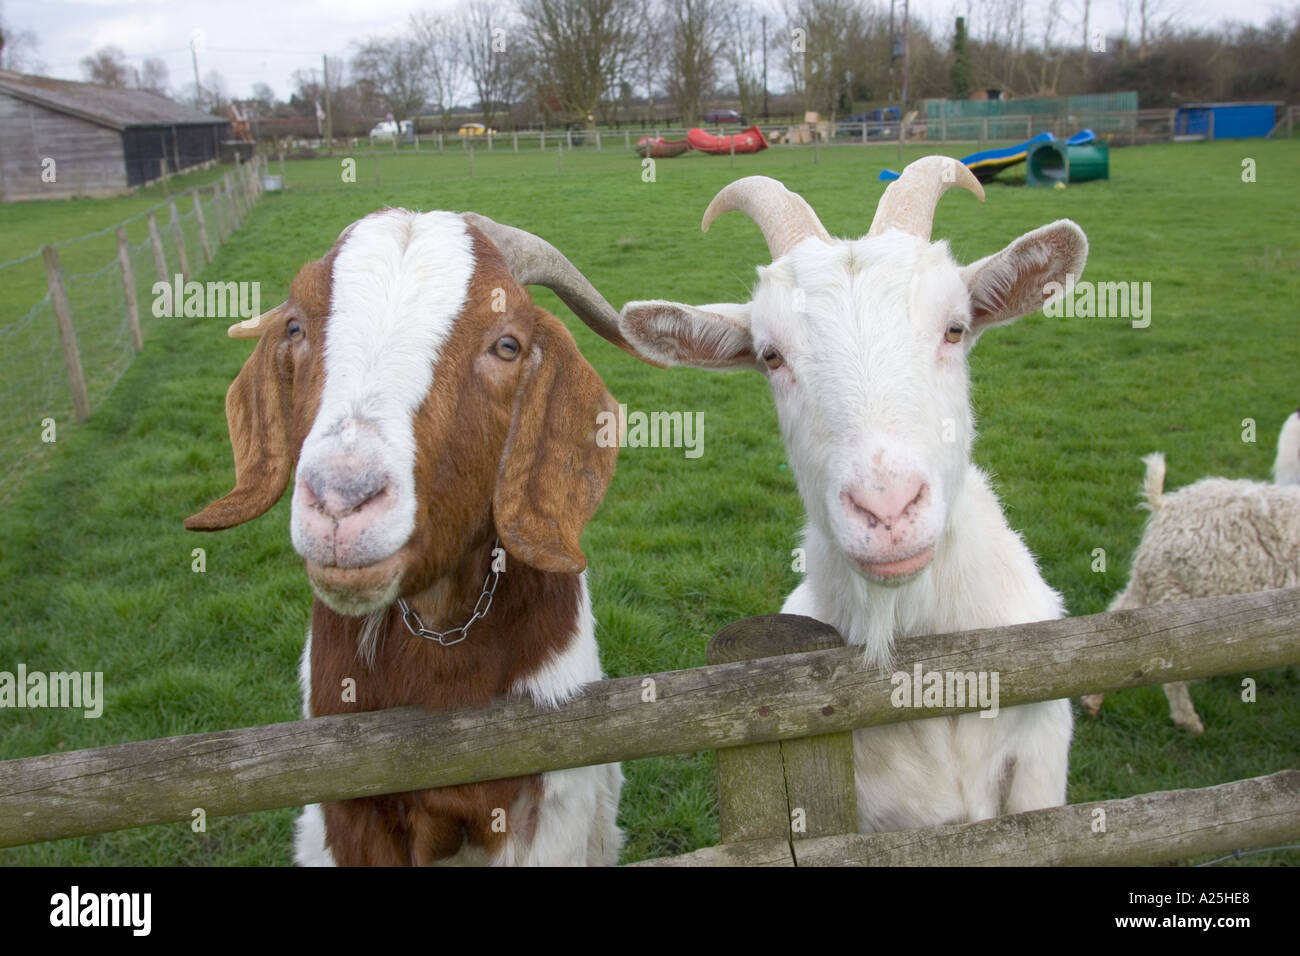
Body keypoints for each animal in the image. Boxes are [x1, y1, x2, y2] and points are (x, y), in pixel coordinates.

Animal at [1081, 405, 1300, 733]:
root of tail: (1166, 506)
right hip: (1188, 597)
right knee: (1173, 664)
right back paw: (1189, 721)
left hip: (1151, 580)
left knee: (1119, 626)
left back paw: (1093, 700)